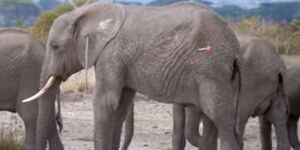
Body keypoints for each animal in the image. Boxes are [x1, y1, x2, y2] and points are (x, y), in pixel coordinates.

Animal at [24, 2, 244, 150]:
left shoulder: (111, 54)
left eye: (55, 47)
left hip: (211, 69)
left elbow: (106, 102)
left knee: (221, 120)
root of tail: (235, 47)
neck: (85, 13)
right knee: (213, 123)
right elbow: (119, 107)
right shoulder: (118, 60)